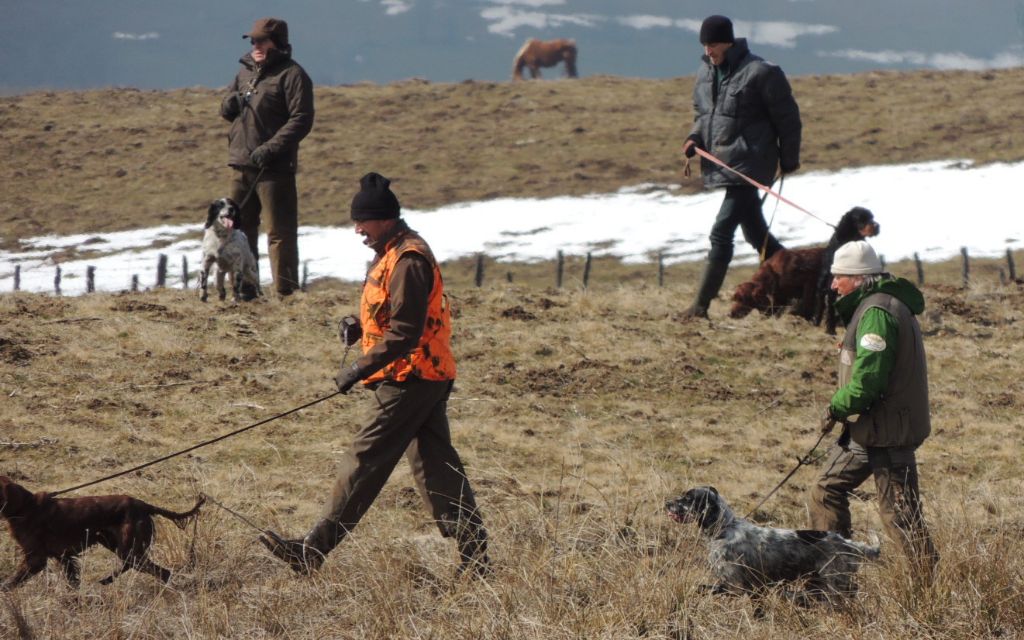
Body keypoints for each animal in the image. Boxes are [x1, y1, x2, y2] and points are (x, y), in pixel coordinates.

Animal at [0, 475, 203, 589]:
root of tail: (144, 505)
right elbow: (73, 581)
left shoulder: (35, 558)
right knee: (142, 568)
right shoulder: (64, 557)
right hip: (115, 543)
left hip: (129, 548)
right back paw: (107, 580)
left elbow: (13, 581)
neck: (24, 507)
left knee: (161, 572)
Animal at [667, 487, 876, 602]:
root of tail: (848, 543)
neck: (724, 529)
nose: (667, 503)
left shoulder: (735, 586)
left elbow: (703, 588)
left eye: (687, 499)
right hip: (817, 581)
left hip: (833, 581)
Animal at [729, 206, 880, 331]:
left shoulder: (809, 282)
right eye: (735, 298)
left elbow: (806, 307)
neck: (774, 273)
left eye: (742, 299)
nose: (730, 314)